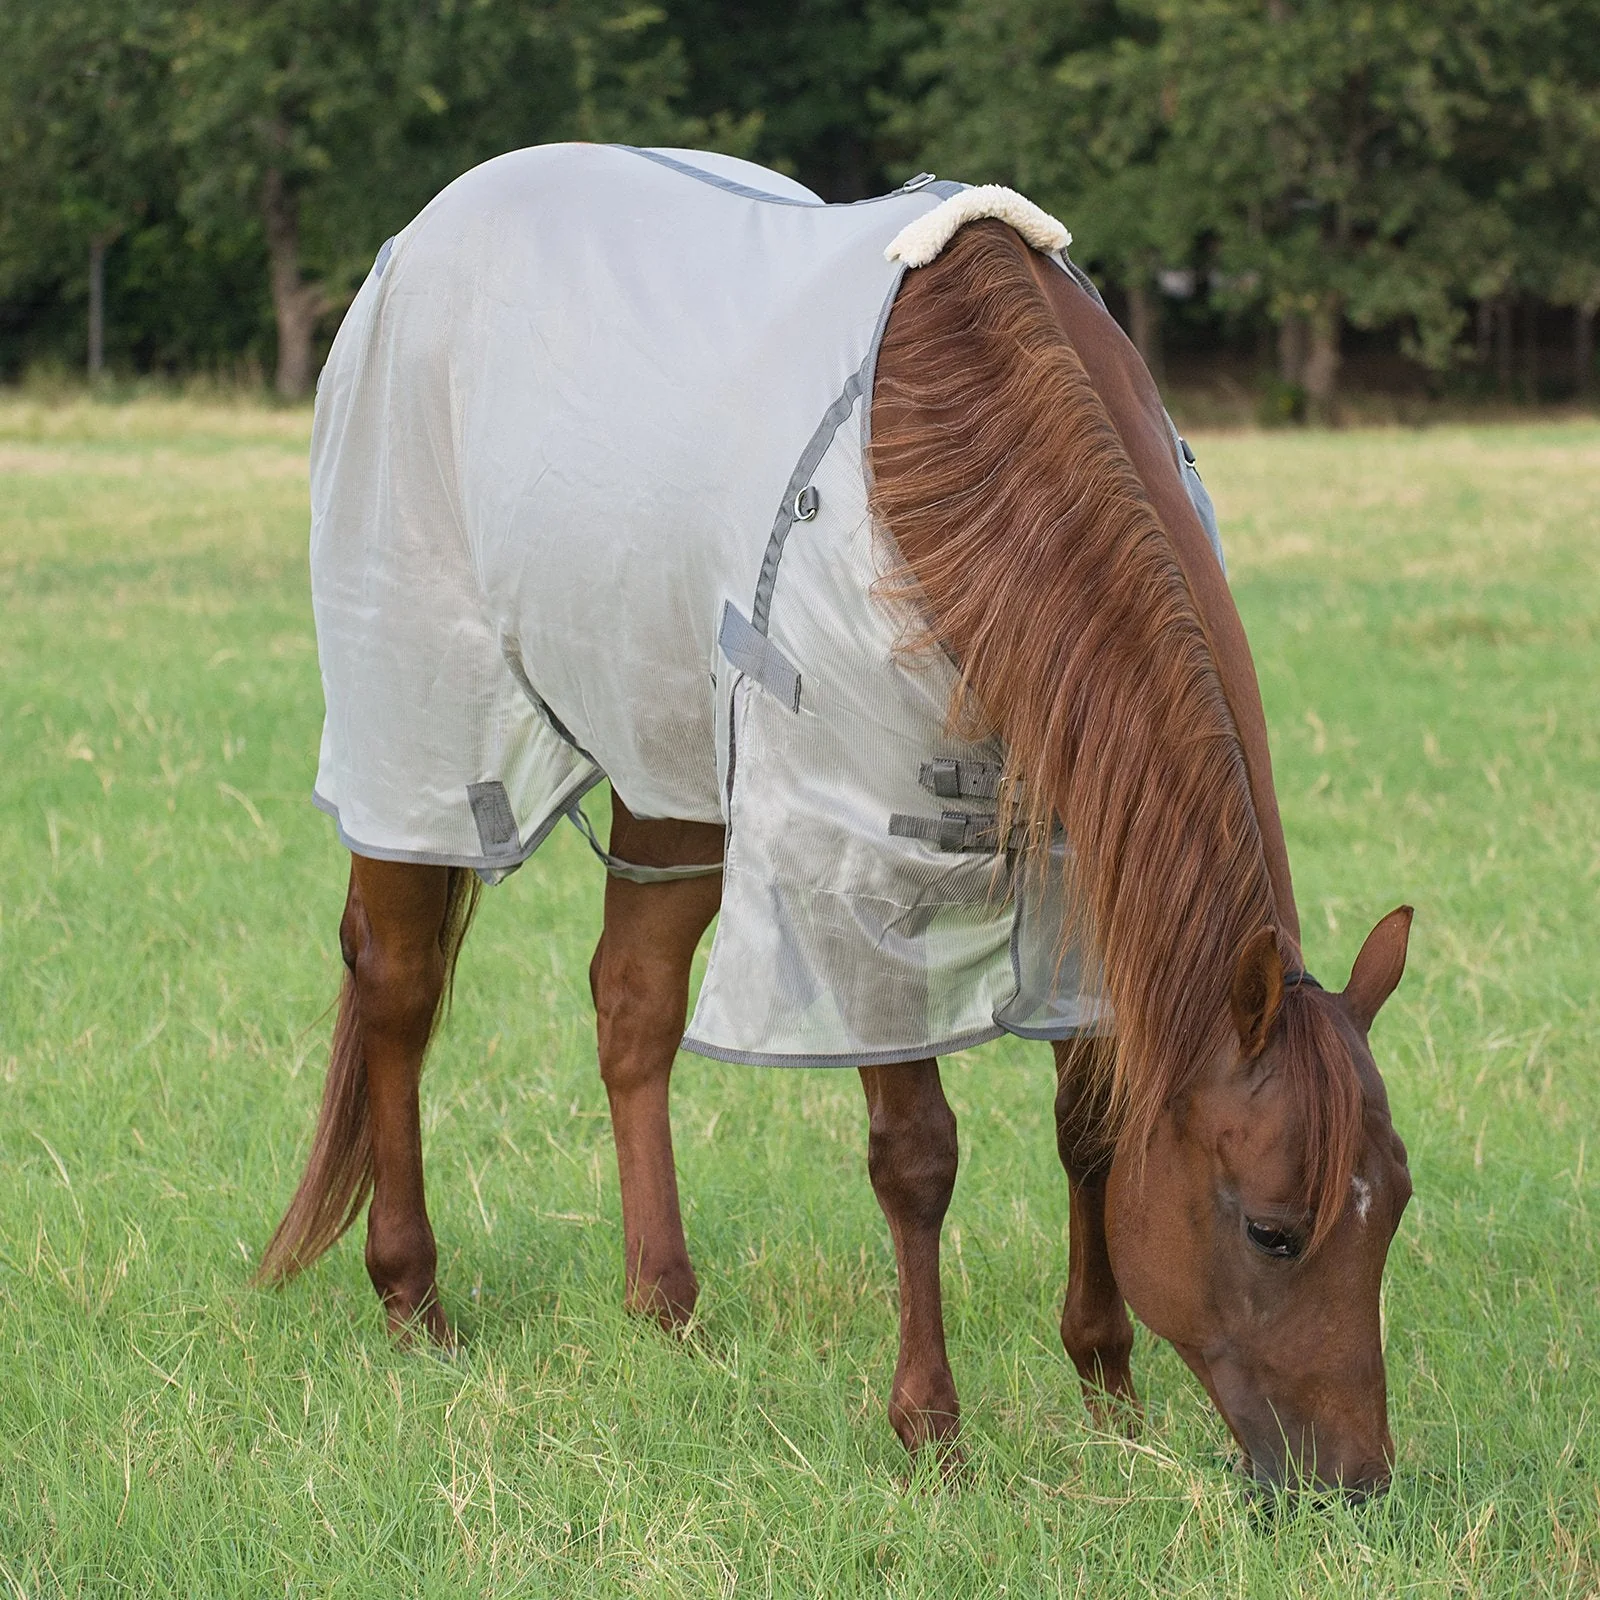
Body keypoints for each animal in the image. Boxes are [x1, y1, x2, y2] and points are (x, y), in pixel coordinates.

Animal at [257, 145, 1413, 1494]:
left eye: (1393, 1206)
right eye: (1274, 1232)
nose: (1354, 1480)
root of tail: (433, 224)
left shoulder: (1078, 867)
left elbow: (1090, 1127)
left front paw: (1105, 1388)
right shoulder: (855, 872)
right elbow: (915, 1155)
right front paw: (932, 1427)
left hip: (672, 757)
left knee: (632, 1000)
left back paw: (664, 1301)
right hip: (423, 725)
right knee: (395, 988)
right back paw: (413, 1297)